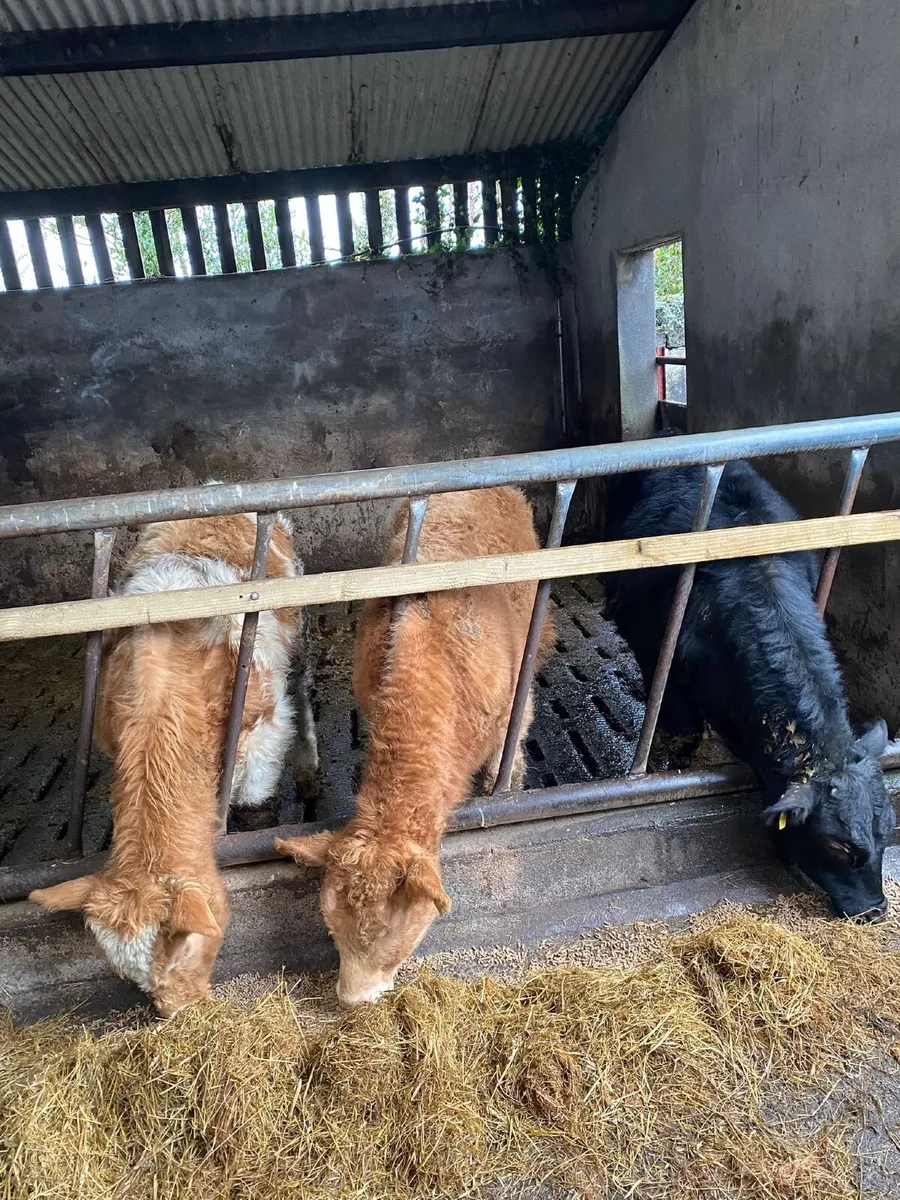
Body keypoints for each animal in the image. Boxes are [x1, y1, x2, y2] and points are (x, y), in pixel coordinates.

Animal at [275, 486, 553, 1005]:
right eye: (331, 927)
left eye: (388, 933)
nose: (351, 1000)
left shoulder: (514, 705)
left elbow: (509, 755)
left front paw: (507, 785)